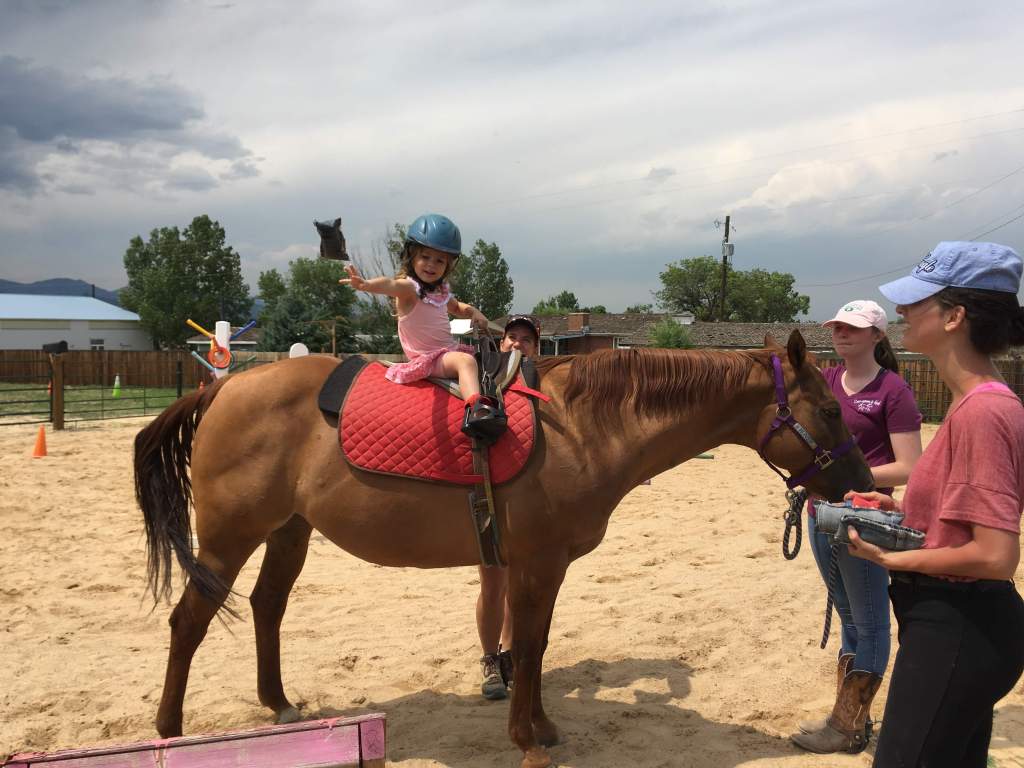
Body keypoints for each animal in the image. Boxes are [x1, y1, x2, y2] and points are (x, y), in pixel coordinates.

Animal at [134, 330, 872, 768]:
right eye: (831, 410)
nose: (864, 483)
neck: (580, 427)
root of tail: (223, 385)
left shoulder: (543, 566)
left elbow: (535, 646)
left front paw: (541, 727)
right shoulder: (536, 564)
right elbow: (530, 646)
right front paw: (528, 742)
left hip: (288, 530)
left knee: (267, 607)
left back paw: (279, 706)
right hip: (229, 539)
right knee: (188, 623)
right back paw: (169, 731)